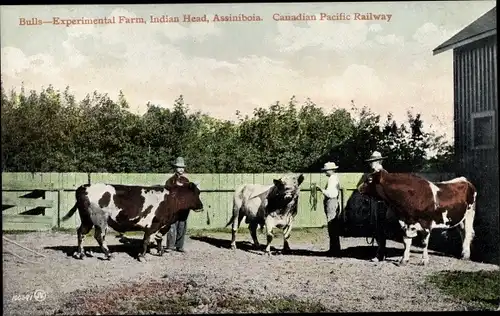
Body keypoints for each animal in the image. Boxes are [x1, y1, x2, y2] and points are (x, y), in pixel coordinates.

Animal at [62, 181, 203, 260]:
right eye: (197, 193)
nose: (201, 206)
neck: (171, 199)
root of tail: (84, 187)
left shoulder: (163, 225)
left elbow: (158, 239)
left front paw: (160, 252)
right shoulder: (153, 224)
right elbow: (146, 240)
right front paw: (142, 256)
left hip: (87, 220)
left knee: (81, 232)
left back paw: (80, 254)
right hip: (100, 220)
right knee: (99, 236)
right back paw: (108, 254)